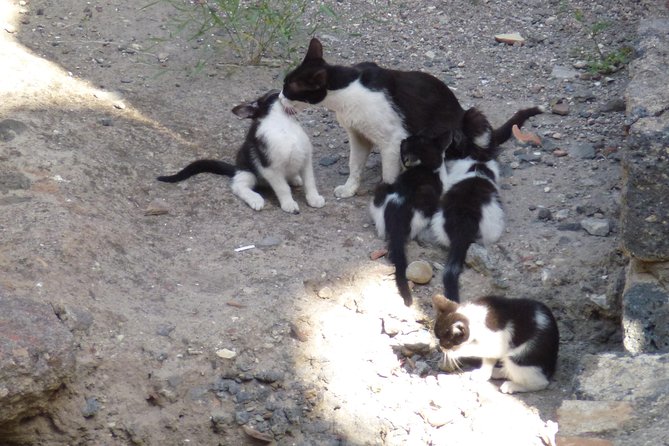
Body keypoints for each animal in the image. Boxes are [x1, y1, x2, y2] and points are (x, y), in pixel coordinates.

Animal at [157, 89, 324, 214]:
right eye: (274, 93)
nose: (281, 91)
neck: (284, 125)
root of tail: (236, 168)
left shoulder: (306, 159)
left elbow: (310, 182)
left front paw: (314, 198)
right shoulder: (269, 168)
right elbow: (282, 188)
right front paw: (289, 203)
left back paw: (295, 179)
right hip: (248, 172)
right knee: (238, 186)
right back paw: (255, 198)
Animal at [280, 37, 468, 198]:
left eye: (288, 88)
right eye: (283, 83)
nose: (280, 98)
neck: (347, 91)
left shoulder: (393, 141)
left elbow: (389, 176)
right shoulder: (358, 135)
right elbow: (354, 164)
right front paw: (349, 188)